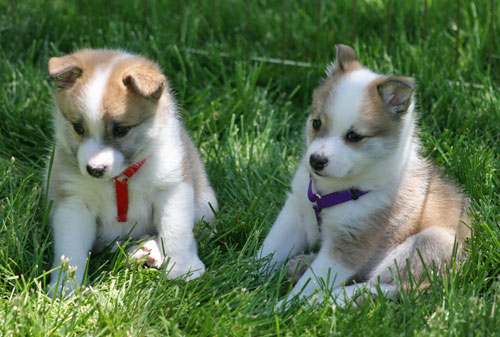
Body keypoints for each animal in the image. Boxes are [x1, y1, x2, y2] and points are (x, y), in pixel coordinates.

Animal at [260, 44, 470, 308]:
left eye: (354, 136)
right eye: (316, 123)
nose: (316, 161)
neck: (331, 191)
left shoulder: (350, 243)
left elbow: (311, 283)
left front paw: (283, 308)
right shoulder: (296, 210)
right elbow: (269, 250)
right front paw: (243, 272)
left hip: (431, 243)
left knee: (390, 286)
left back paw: (329, 299)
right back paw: (300, 266)